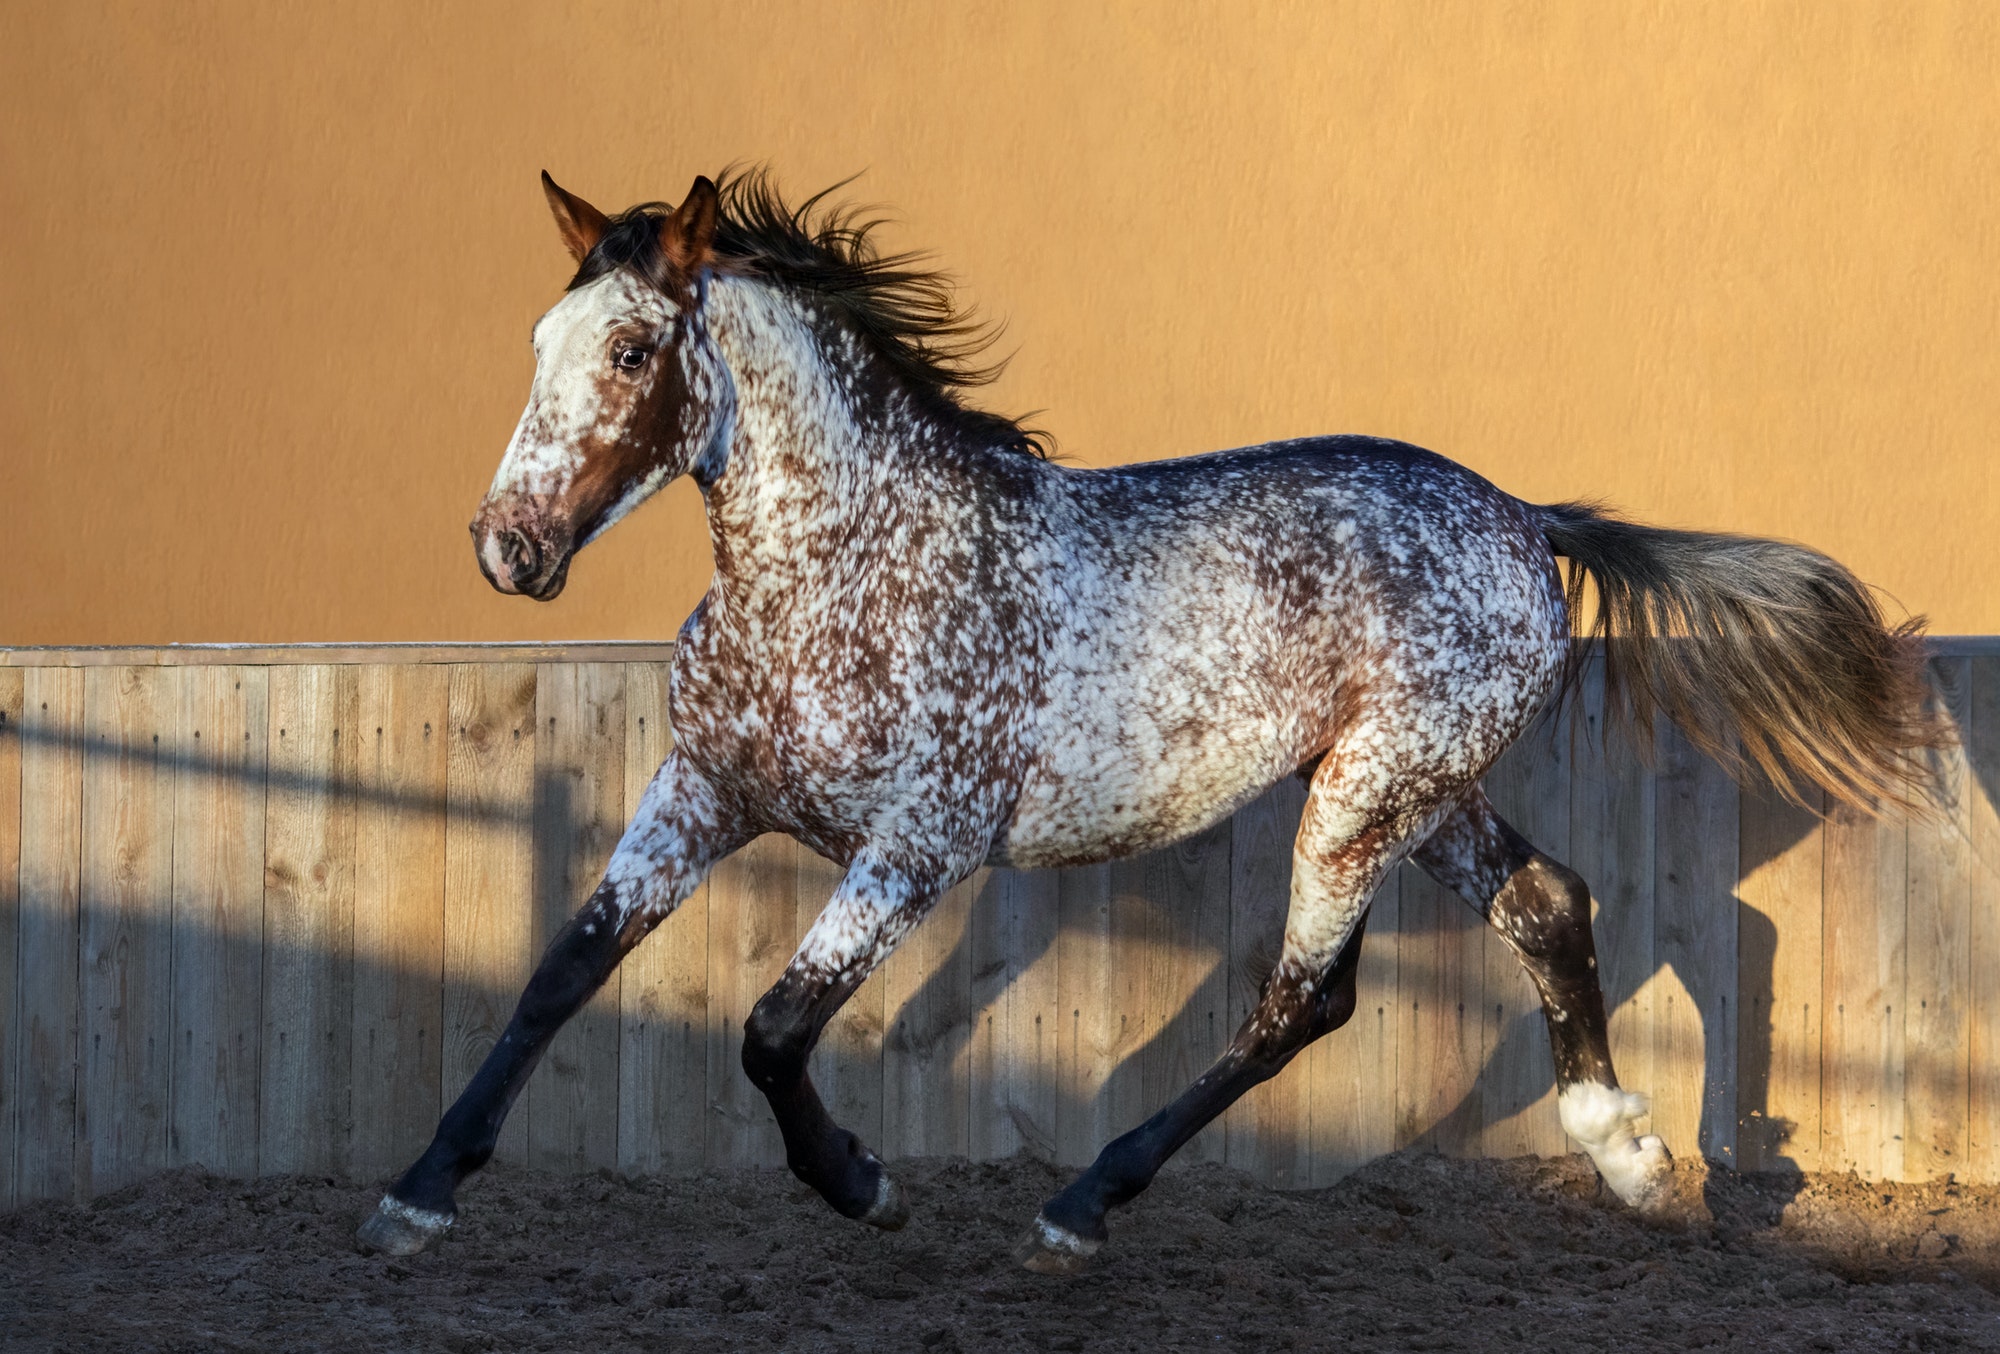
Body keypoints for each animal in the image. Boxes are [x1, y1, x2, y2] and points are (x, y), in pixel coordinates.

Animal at [352, 166, 1944, 1264]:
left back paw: (1079, 1205)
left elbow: (772, 1028)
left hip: (1365, 794)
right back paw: (1630, 1161)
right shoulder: (701, 788)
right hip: (1421, 791)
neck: (842, 567)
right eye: (539, 339)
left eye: (631, 352)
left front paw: (865, 1183)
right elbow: (564, 965)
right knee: (1547, 903)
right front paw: (417, 1194)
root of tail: (1523, 518)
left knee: (1306, 997)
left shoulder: (920, 843)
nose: (508, 550)